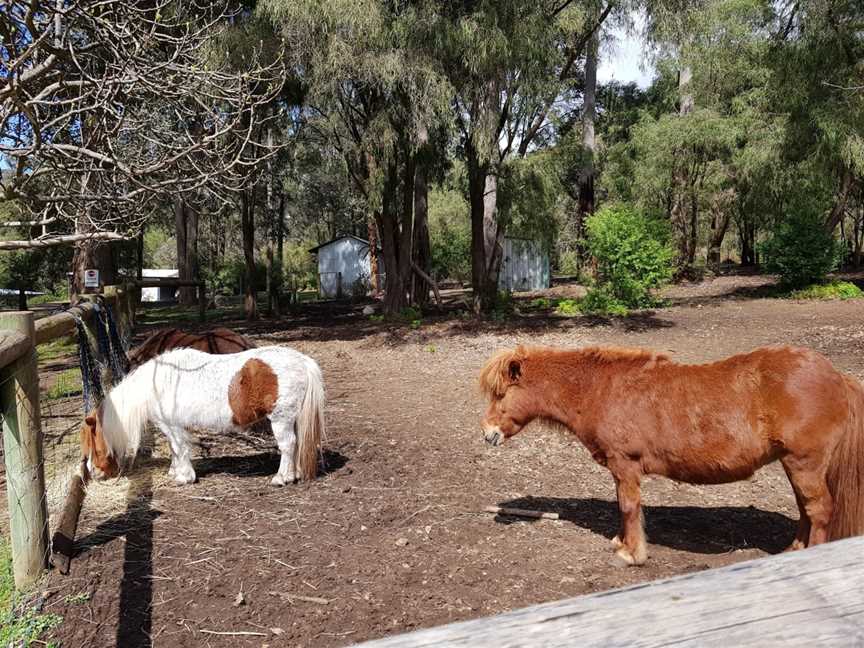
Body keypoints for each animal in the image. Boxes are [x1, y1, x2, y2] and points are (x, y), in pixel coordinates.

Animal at [82, 346, 326, 484]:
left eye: (93, 444)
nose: (94, 474)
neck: (157, 384)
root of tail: (303, 361)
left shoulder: (172, 426)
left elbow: (180, 448)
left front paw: (184, 477)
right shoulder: (171, 427)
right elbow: (174, 449)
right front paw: (175, 472)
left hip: (281, 419)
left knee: (288, 445)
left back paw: (281, 478)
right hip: (292, 419)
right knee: (296, 444)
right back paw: (294, 474)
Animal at [480, 346, 864, 564]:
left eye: (500, 394)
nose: (488, 433)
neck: (601, 389)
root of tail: (836, 376)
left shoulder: (625, 465)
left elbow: (628, 506)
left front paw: (631, 553)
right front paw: (622, 541)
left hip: (804, 464)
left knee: (818, 510)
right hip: (795, 465)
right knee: (806, 511)